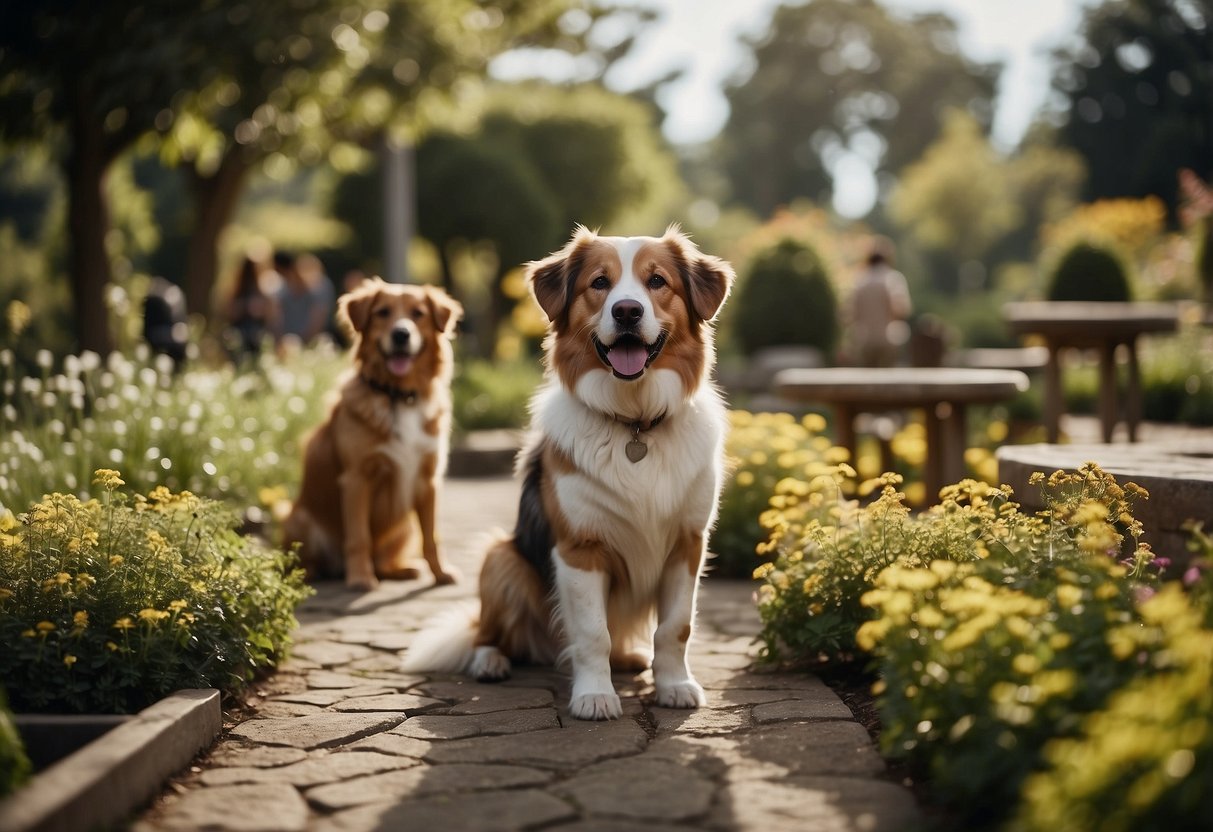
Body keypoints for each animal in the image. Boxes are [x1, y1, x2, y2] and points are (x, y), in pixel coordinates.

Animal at [283, 280, 463, 594]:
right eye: (382, 312)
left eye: (418, 313)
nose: (401, 334)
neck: (400, 397)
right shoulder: (357, 478)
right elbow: (359, 537)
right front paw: (361, 579)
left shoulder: (428, 480)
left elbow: (431, 537)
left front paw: (440, 574)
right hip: (298, 519)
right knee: (301, 560)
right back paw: (311, 574)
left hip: (405, 526)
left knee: (385, 560)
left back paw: (402, 570)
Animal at [402, 224, 732, 717]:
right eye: (599, 283)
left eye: (657, 281)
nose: (628, 310)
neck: (635, 422)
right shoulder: (580, 549)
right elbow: (593, 633)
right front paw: (595, 695)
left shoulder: (687, 545)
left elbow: (675, 628)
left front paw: (674, 685)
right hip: (501, 558)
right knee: (486, 632)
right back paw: (491, 662)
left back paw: (631, 659)